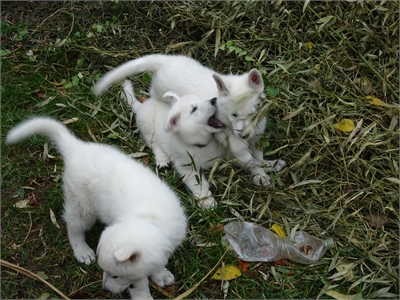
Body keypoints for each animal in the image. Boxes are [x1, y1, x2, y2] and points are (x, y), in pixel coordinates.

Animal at [6, 117, 187, 300]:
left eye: (115, 275)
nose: (104, 289)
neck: (150, 220)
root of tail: (76, 148)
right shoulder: (136, 275)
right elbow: (140, 285)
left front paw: (160, 274)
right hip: (81, 205)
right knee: (74, 228)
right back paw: (82, 251)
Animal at [92, 53, 286, 188]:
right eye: (234, 115)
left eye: (252, 113)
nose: (244, 135)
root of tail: (164, 60)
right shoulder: (225, 134)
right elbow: (242, 152)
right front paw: (253, 166)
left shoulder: (256, 135)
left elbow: (258, 156)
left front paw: (263, 170)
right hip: (157, 99)